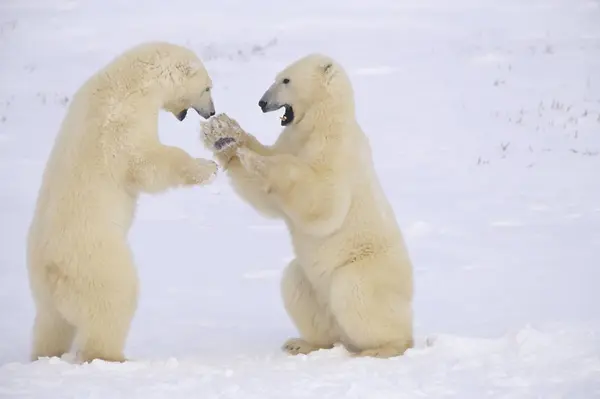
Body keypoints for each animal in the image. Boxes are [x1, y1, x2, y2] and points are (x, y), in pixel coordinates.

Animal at [26, 42, 218, 364]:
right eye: (207, 87)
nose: (211, 111)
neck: (130, 79)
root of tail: (52, 270)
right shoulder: (123, 121)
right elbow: (147, 162)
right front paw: (208, 167)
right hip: (98, 262)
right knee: (113, 302)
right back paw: (112, 357)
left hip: (42, 288)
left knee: (50, 323)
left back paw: (45, 354)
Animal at [200, 54, 412, 360]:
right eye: (277, 77)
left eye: (286, 80)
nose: (262, 102)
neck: (321, 123)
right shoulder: (290, 140)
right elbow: (266, 198)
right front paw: (226, 133)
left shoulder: (337, 151)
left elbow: (323, 200)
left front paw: (257, 159)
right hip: (312, 283)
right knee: (295, 283)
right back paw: (301, 343)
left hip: (367, 268)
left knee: (356, 292)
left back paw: (379, 349)